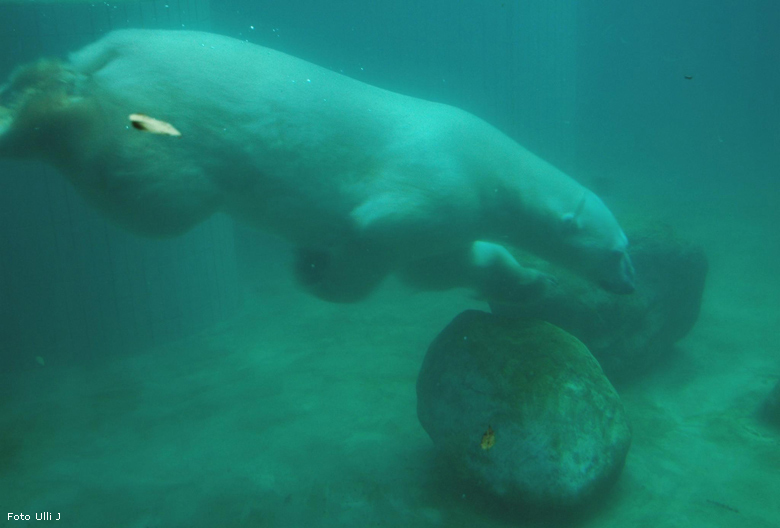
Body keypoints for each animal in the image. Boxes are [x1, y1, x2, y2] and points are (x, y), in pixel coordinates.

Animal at [0, 29, 632, 302]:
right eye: (619, 250)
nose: (629, 285)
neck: (494, 170)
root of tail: (115, 45)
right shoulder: (438, 181)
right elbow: (376, 230)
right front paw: (316, 271)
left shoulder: (456, 217)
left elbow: (444, 265)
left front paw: (533, 279)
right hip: (170, 124)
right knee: (149, 191)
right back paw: (29, 112)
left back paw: (31, 80)